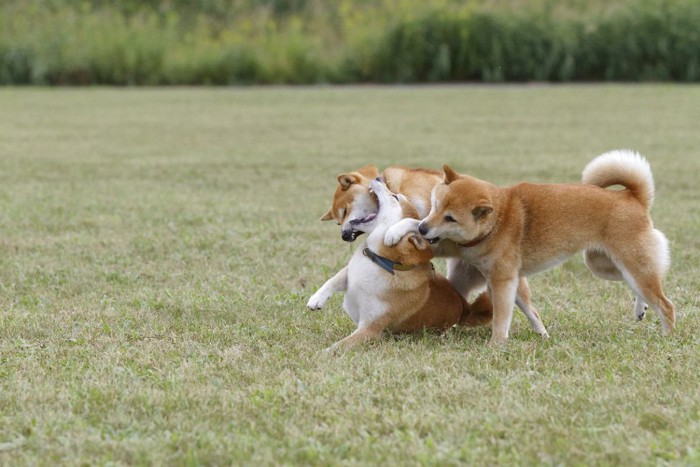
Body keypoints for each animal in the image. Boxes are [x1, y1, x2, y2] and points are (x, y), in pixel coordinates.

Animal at [386, 148, 676, 346]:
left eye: (450, 218)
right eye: (435, 206)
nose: (425, 230)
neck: (498, 221)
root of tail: (634, 198)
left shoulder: (503, 280)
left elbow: (501, 317)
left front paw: (496, 345)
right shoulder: (455, 247)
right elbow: (411, 222)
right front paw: (393, 232)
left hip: (630, 263)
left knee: (666, 304)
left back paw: (667, 337)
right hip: (604, 265)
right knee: (641, 287)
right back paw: (640, 309)